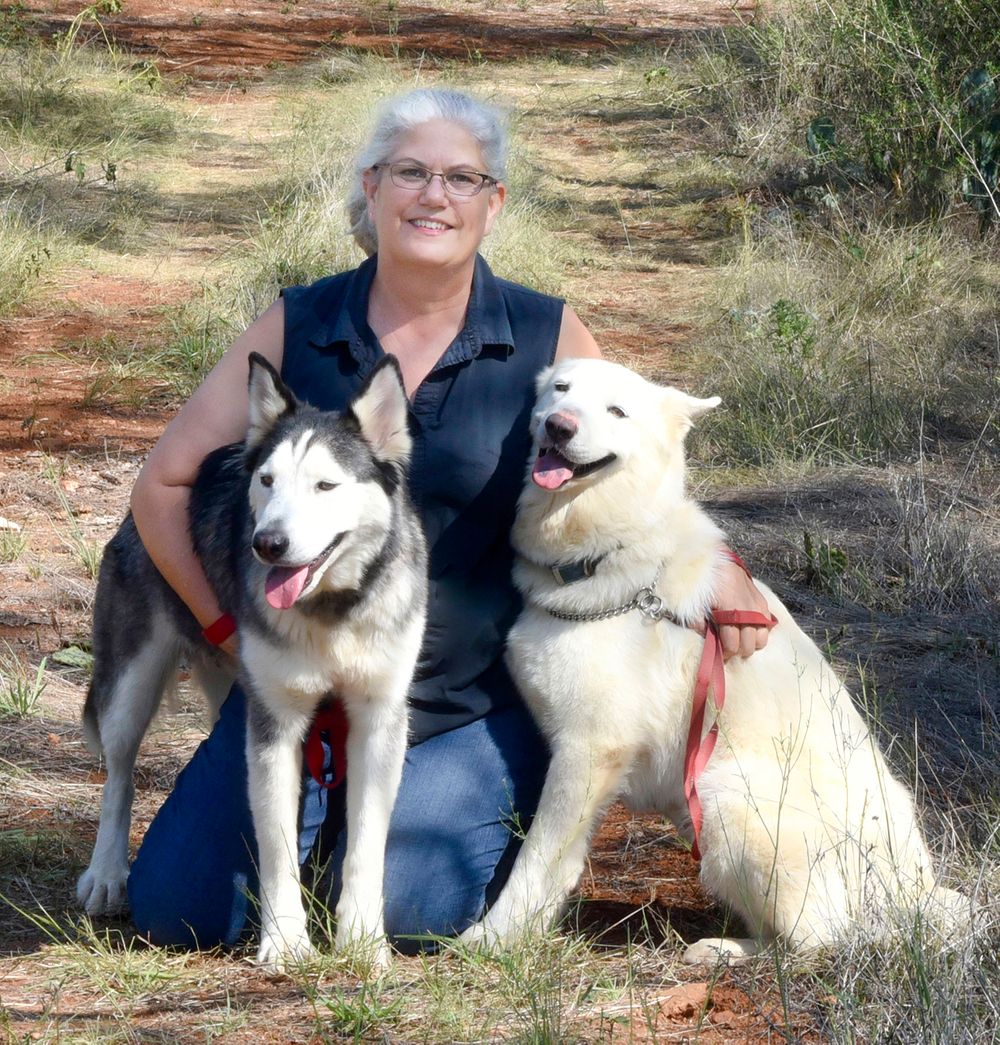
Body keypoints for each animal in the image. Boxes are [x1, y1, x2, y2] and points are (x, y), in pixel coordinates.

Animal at [463, 355, 965, 957]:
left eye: (616, 410)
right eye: (560, 390)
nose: (558, 426)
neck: (609, 557)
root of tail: (916, 893)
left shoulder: (589, 751)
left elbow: (536, 860)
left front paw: (493, 938)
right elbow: (555, 865)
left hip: (723, 795)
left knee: (815, 938)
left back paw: (724, 952)